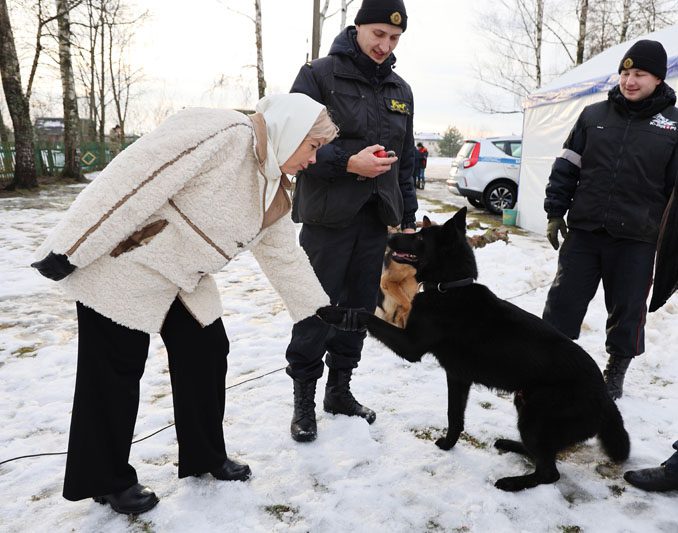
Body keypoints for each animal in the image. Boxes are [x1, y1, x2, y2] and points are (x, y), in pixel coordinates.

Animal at [318, 207, 632, 490]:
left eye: (419, 237)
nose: (389, 236)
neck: (449, 287)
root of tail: (605, 397)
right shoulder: (458, 378)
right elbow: (454, 416)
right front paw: (448, 445)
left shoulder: (411, 346)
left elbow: (367, 315)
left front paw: (337, 313)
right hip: (524, 403)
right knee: (542, 454)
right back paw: (510, 444)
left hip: (534, 414)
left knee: (549, 472)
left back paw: (512, 482)